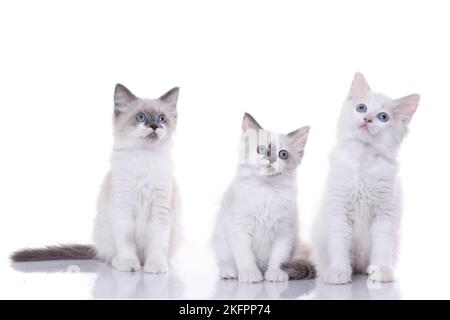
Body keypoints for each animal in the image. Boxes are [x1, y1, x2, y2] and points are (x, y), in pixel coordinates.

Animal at [11, 83, 181, 272]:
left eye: (162, 119)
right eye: (141, 117)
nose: (154, 126)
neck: (144, 157)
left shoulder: (161, 208)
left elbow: (158, 243)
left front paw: (156, 266)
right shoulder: (122, 206)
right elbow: (127, 242)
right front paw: (129, 264)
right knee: (110, 254)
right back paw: (119, 261)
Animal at [213, 112, 314, 282]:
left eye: (283, 154)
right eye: (260, 149)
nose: (271, 159)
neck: (266, 190)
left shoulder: (285, 231)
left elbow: (279, 257)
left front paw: (275, 273)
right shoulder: (239, 227)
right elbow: (245, 255)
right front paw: (250, 274)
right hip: (221, 241)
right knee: (226, 261)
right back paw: (230, 272)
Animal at [312, 72, 420, 282]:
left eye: (383, 117)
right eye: (361, 108)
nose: (368, 118)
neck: (362, 160)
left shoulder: (385, 212)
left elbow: (382, 246)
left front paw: (381, 271)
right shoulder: (339, 209)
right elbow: (339, 244)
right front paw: (338, 272)